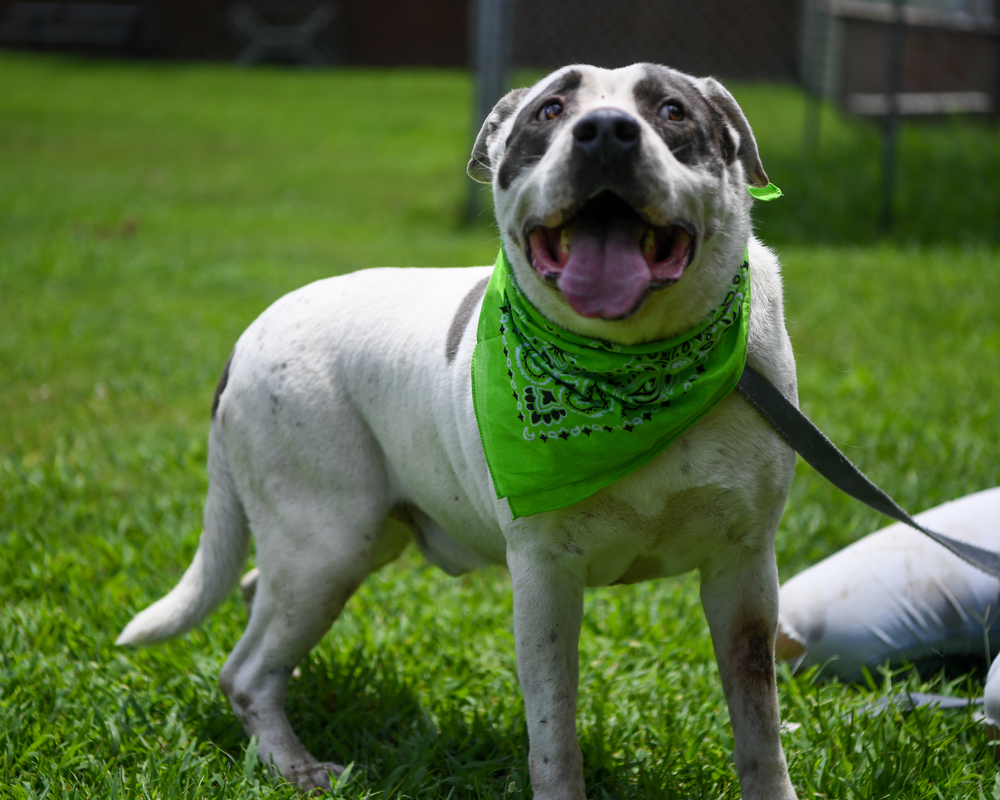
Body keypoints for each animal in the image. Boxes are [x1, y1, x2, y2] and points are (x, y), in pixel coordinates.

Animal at [121, 64, 800, 800]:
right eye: (551, 110)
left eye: (673, 111)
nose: (605, 132)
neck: (632, 370)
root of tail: (249, 335)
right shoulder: (544, 580)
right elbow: (554, 735)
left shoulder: (744, 570)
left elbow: (758, 723)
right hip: (326, 544)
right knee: (243, 673)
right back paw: (296, 765)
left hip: (348, 545)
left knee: (257, 607)